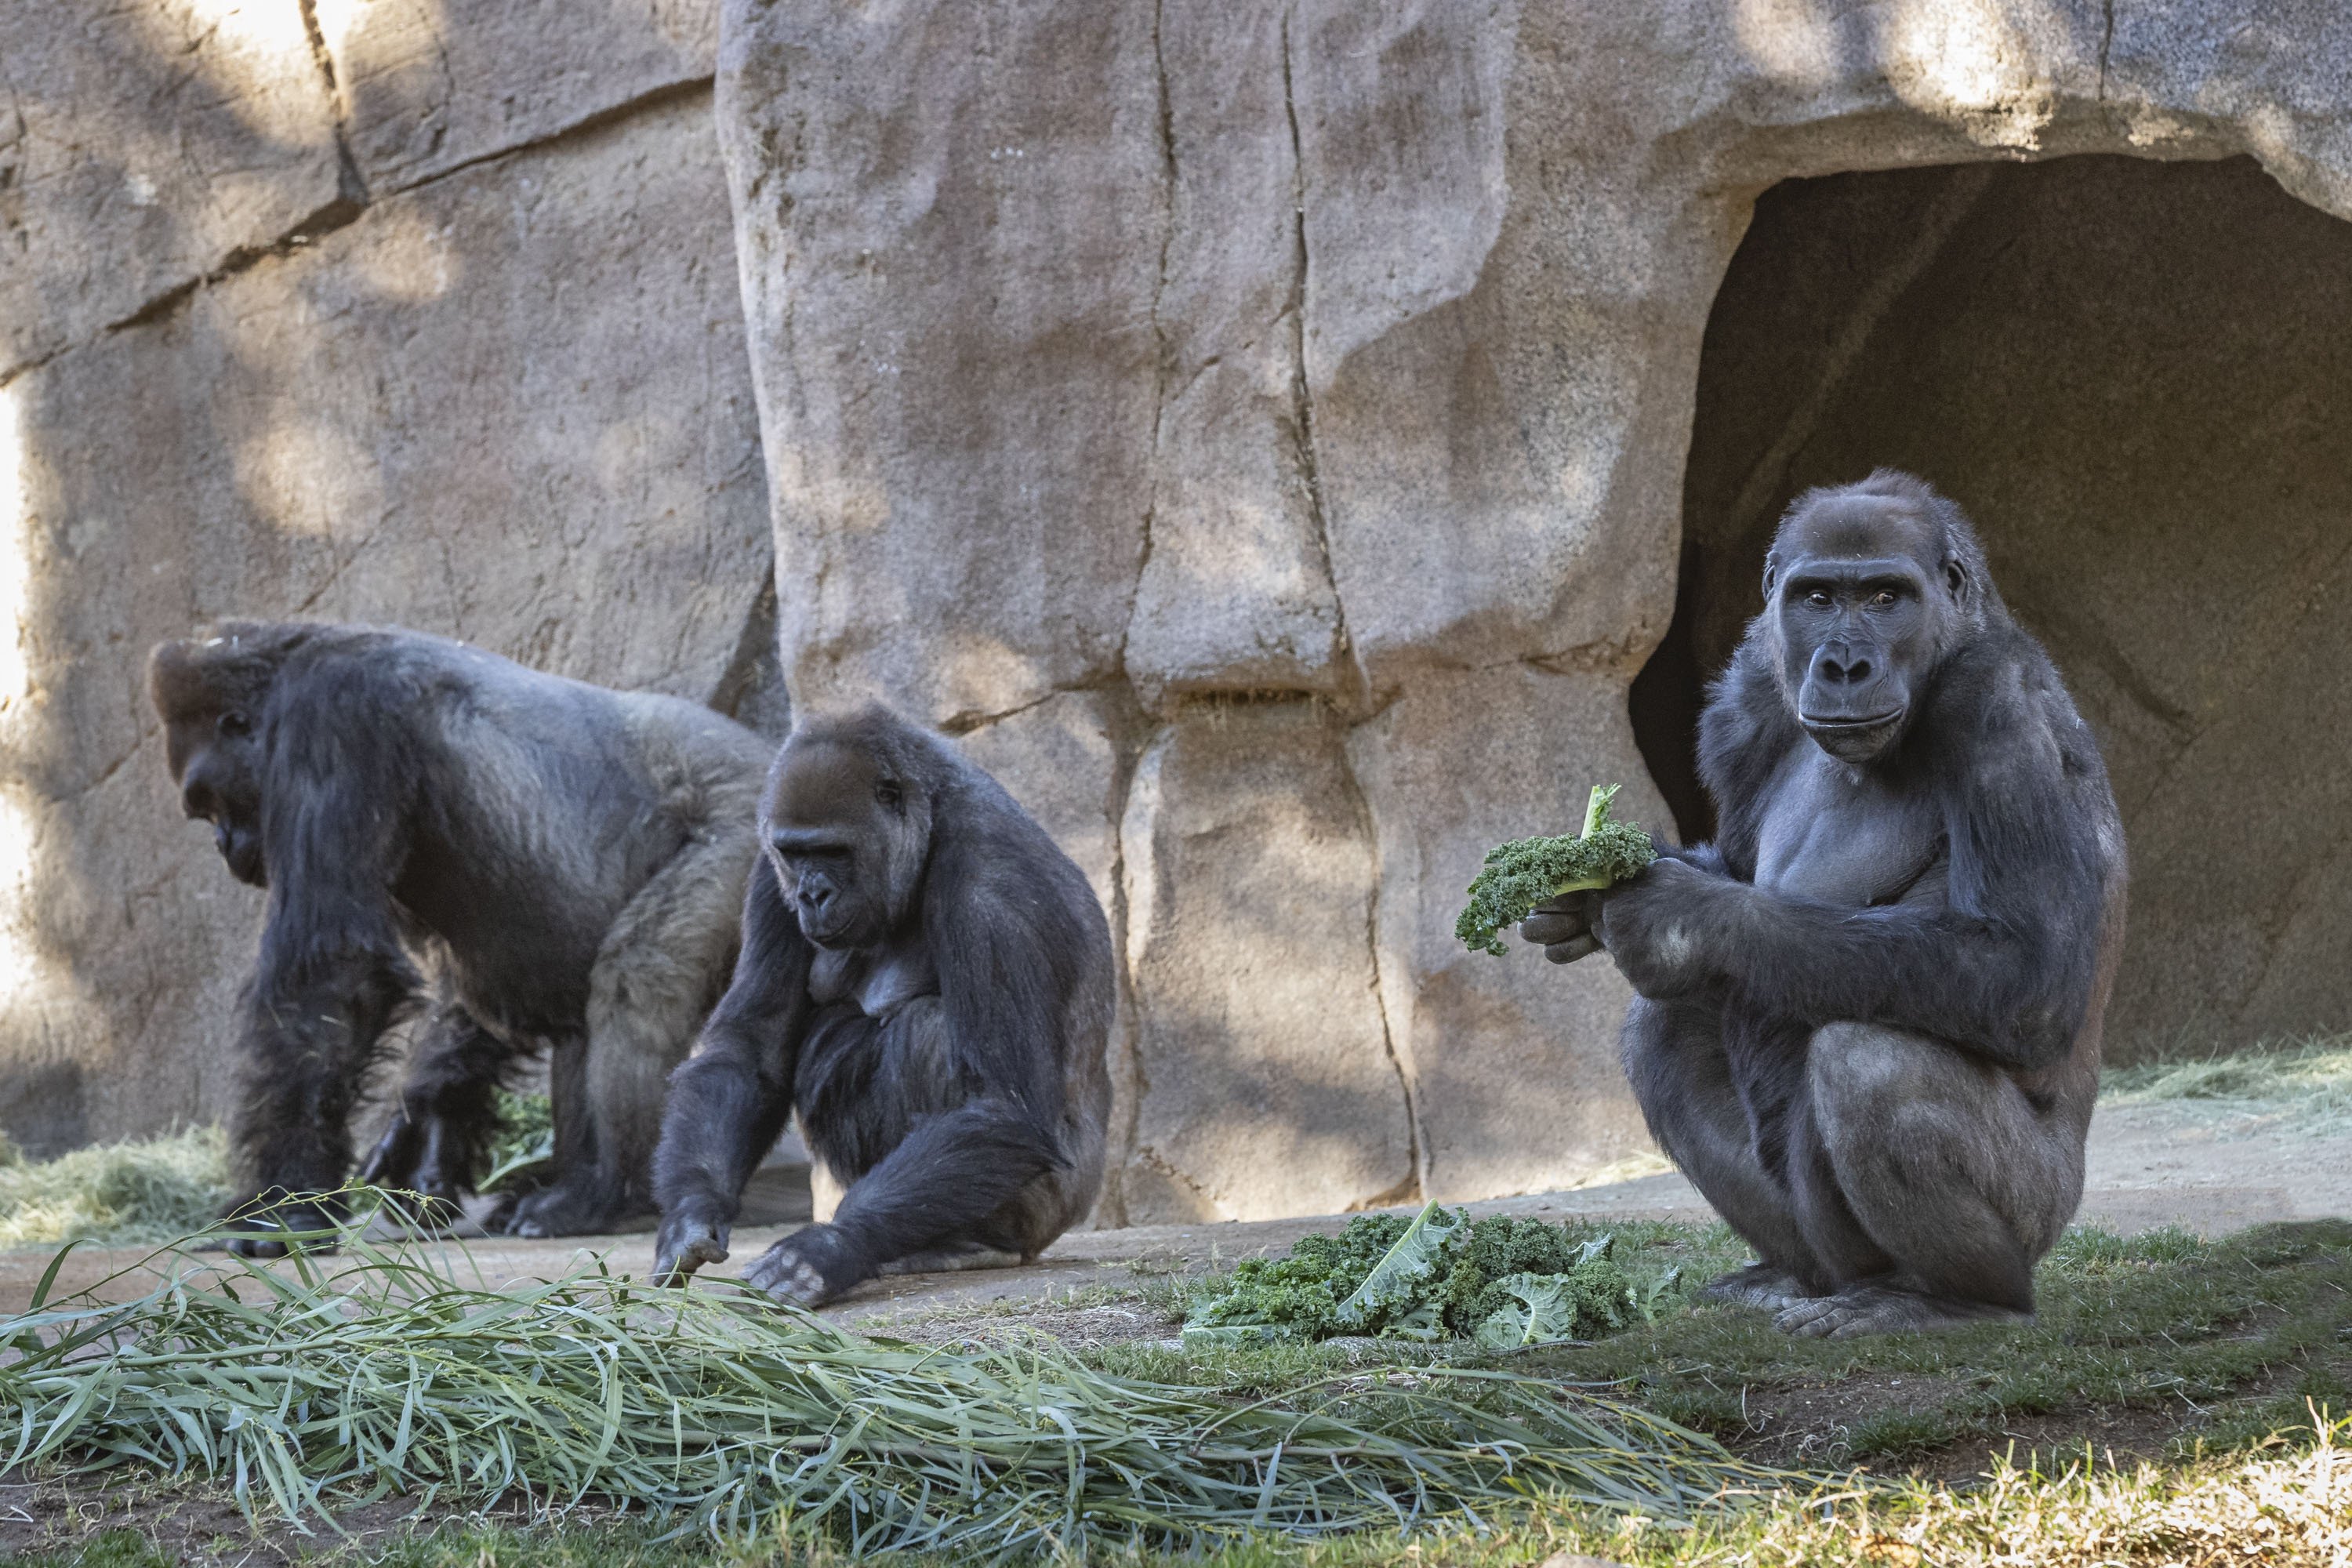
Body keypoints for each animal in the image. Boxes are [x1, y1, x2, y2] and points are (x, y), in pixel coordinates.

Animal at [149, 620, 771, 1260]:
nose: (224, 845)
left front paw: (285, 1202)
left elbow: (334, 978)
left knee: (639, 978)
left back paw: (603, 1191)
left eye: (211, 800)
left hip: (748, 827)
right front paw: (425, 1119)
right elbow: (472, 990)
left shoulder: (331, 715)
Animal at [649, 705, 1115, 1307]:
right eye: (796, 854)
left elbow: (1001, 1105)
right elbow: (750, 1052)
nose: (812, 895)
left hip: (1053, 1210)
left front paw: (833, 1246)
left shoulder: (992, 885)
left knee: (925, 1031)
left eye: (833, 851)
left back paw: (972, 1243)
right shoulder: (768, 874)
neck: (932, 821)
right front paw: (690, 1214)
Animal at [1524, 470, 2136, 1335]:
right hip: (1821, 1246)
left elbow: (2027, 967)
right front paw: (1585, 891)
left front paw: (1677, 918)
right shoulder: (1748, 700)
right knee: (1665, 1032)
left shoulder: (1996, 698)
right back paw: (1791, 1274)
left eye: (1885, 596)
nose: (1844, 663)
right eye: (1817, 597)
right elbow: (1734, 867)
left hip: (2045, 1209)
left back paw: (1953, 1298)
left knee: (1870, 1061)